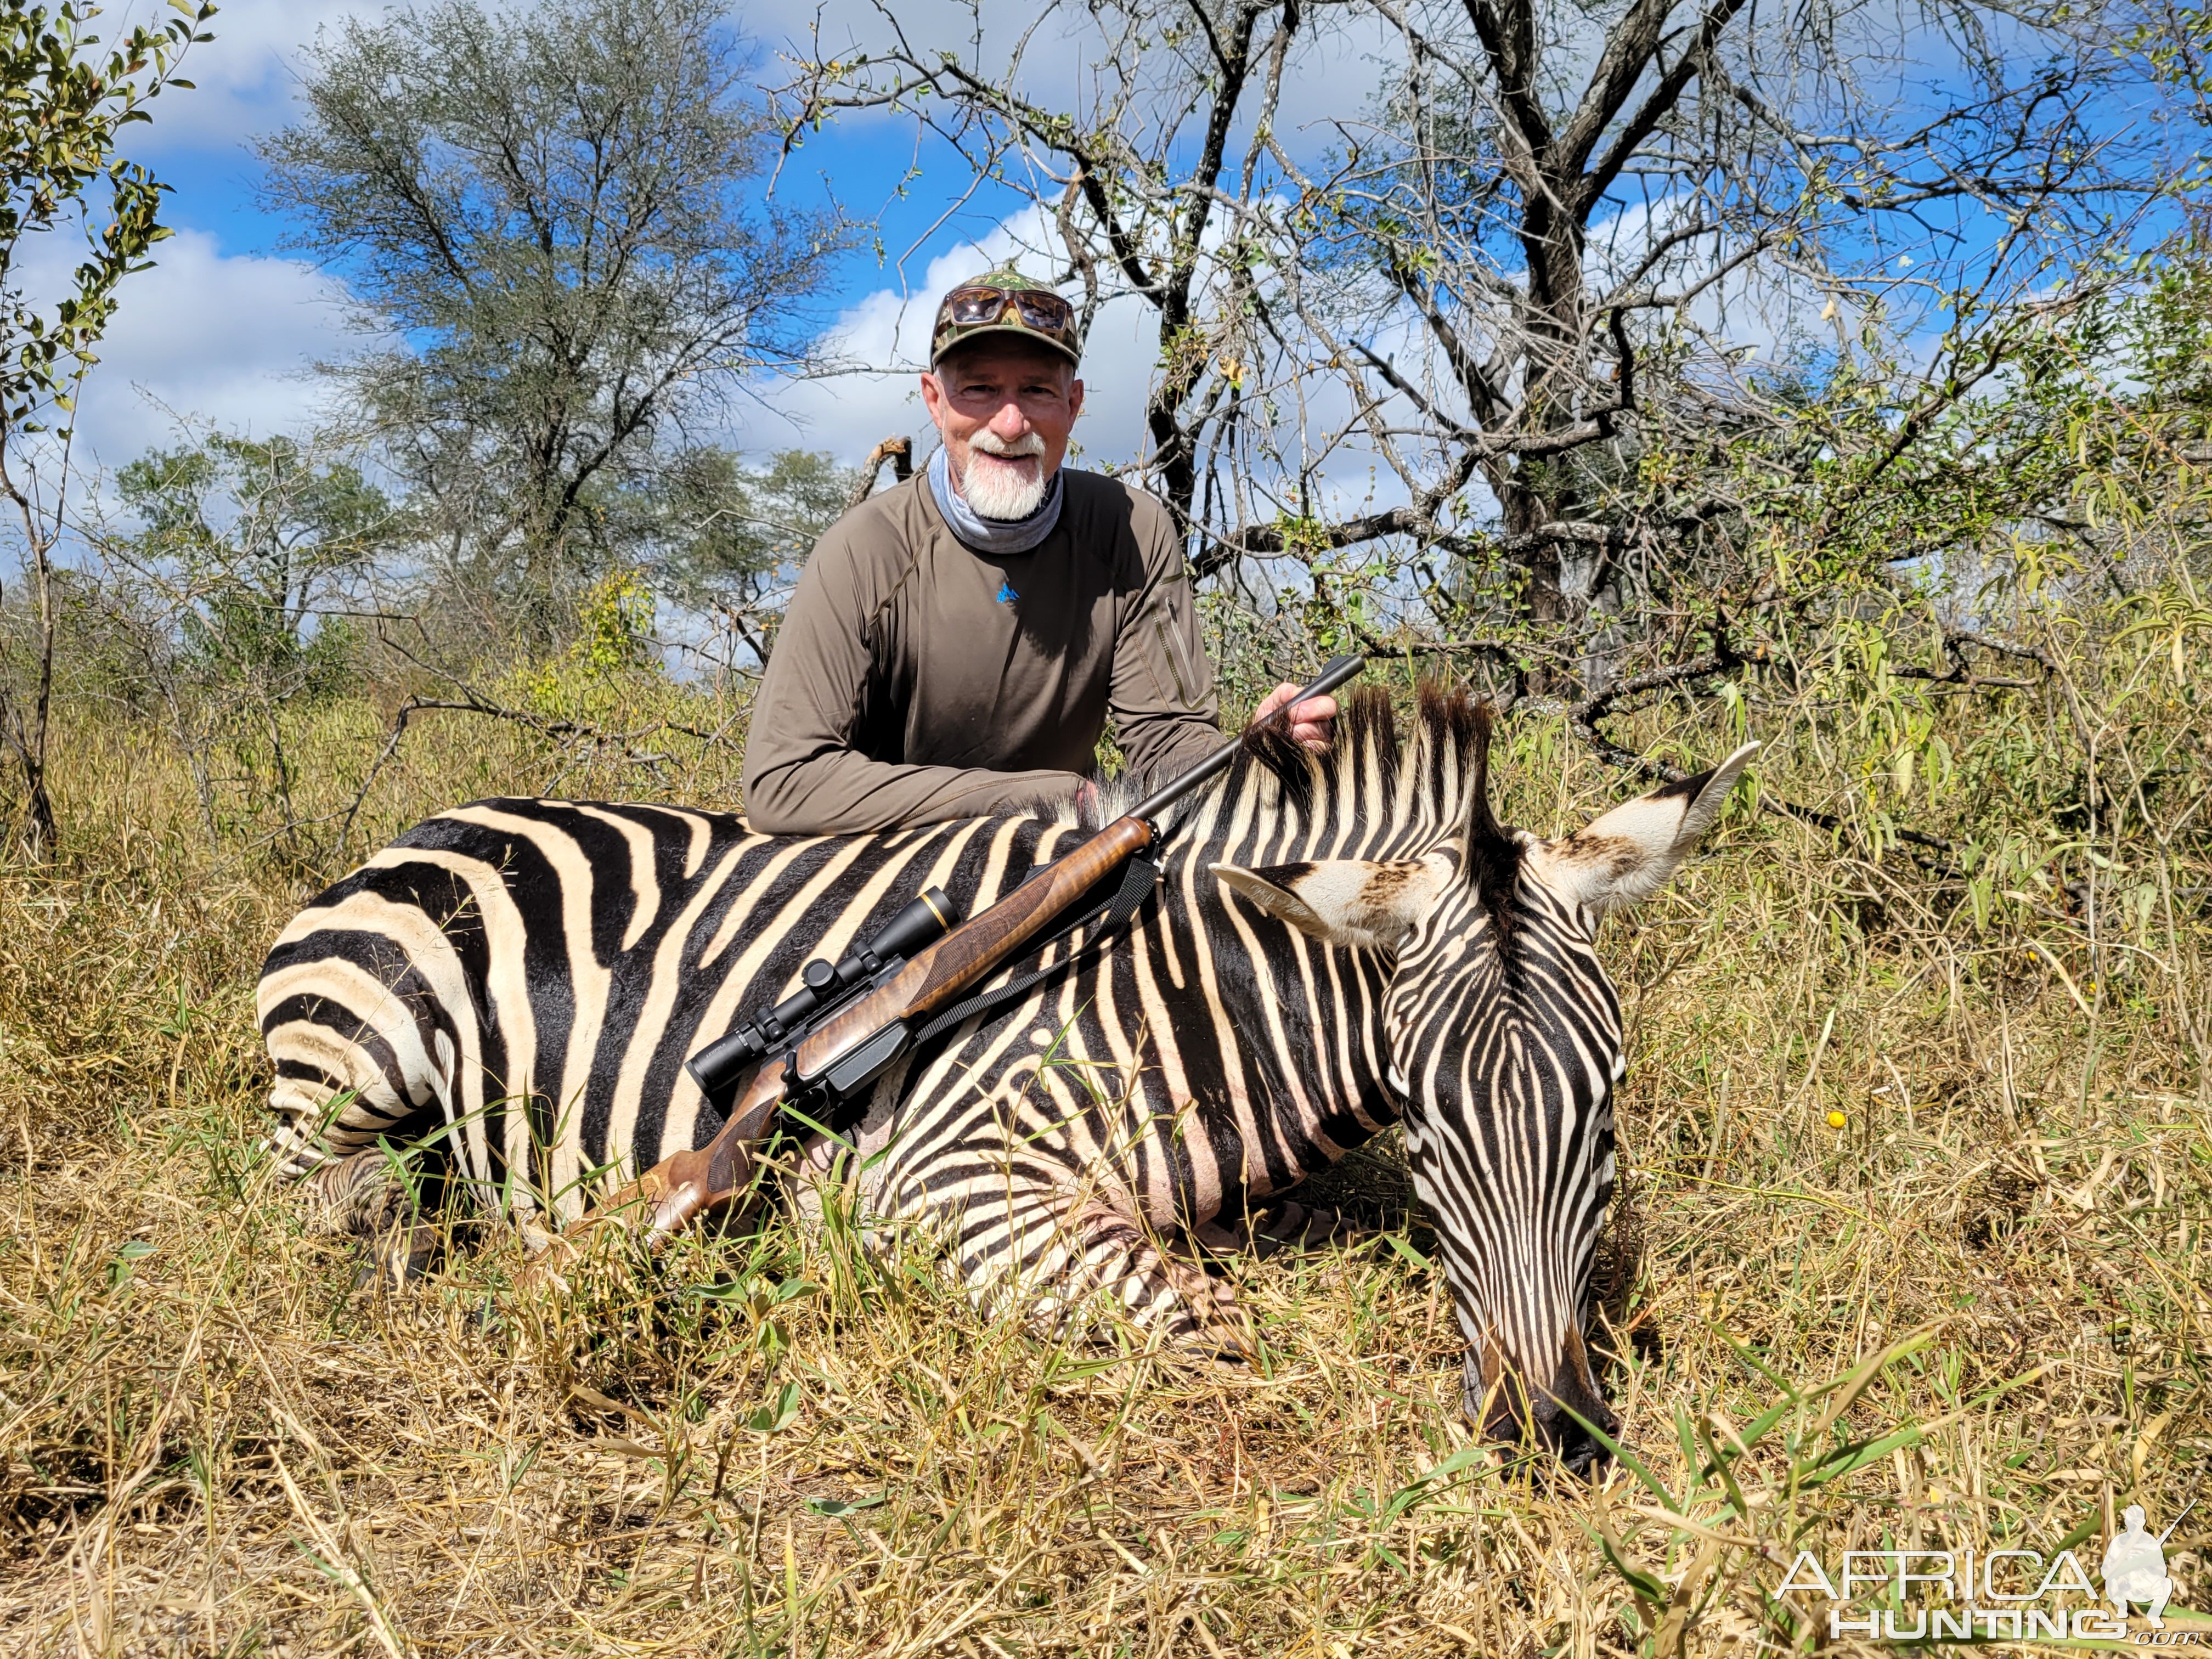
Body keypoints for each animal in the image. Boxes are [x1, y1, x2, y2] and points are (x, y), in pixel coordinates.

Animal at [258, 685, 1752, 1451]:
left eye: (1605, 1108)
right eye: (1434, 1125)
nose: (1551, 1430)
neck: (1190, 986)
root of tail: (430, 823)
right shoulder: (931, 1180)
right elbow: (1210, 1330)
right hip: (352, 1067)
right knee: (334, 1209)